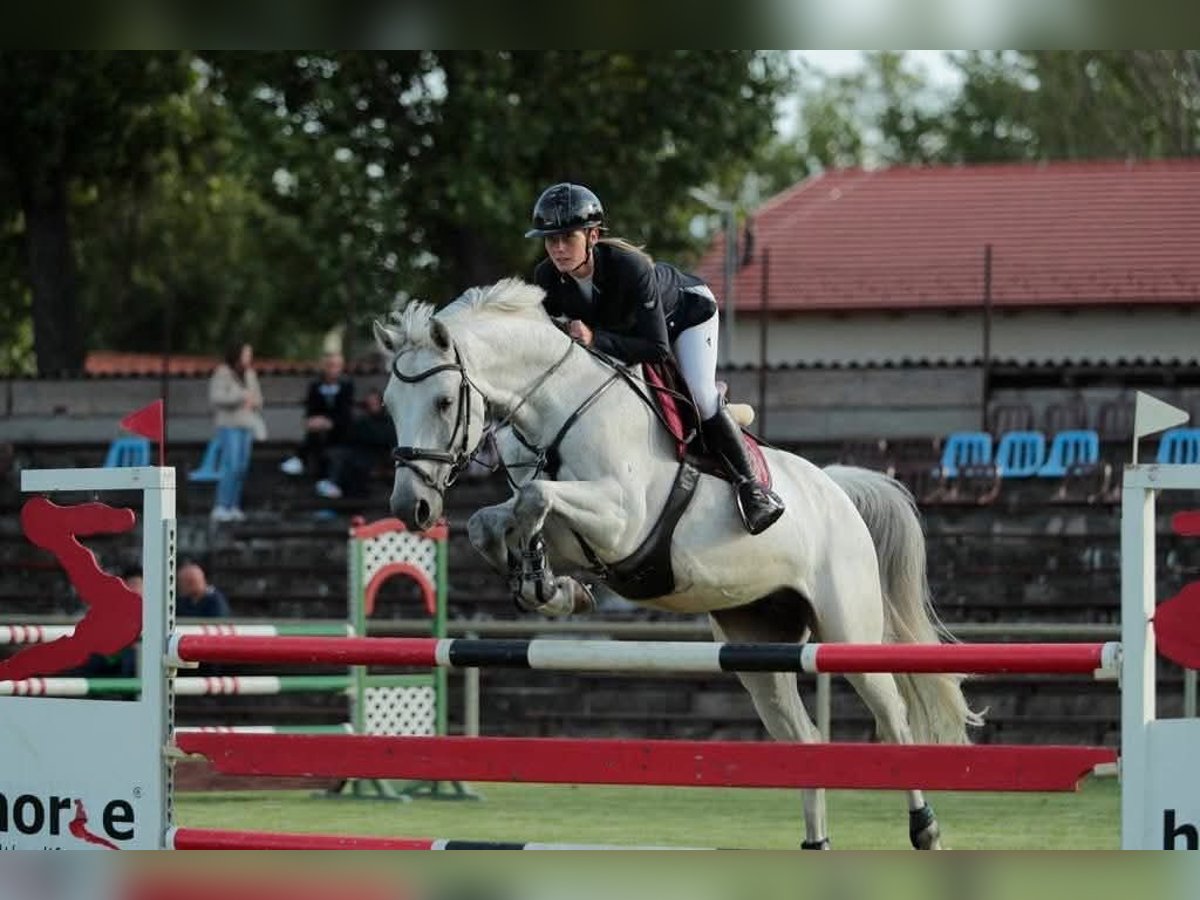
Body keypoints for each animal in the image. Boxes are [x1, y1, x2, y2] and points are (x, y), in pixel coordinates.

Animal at [373, 277, 982, 849]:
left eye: (443, 402)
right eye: (388, 406)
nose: (411, 507)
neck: (556, 408)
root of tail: (837, 488)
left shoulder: (621, 521)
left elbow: (535, 499)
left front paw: (544, 581)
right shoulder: (577, 527)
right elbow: (497, 518)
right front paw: (545, 584)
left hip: (847, 632)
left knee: (892, 718)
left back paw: (926, 828)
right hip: (758, 640)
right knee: (803, 739)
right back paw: (816, 843)